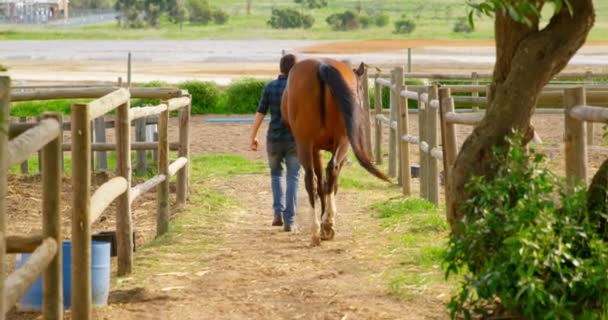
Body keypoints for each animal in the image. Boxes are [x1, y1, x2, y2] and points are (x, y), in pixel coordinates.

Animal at [282, 58, 390, 246]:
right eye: (361, 88)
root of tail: (322, 66)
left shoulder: (316, 148)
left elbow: (322, 184)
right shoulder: (325, 149)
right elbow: (331, 183)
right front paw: (327, 219)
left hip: (307, 144)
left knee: (312, 179)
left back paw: (318, 229)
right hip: (340, 141)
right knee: (328, 171)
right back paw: (325, 226)